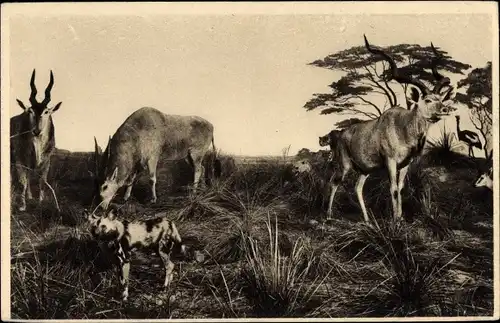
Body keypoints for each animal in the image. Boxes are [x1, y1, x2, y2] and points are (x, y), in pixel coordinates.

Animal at [10, 70, 62, 213]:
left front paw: (40, 202)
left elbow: (42, 182)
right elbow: (22, 182)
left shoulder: (46, 161)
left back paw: (30, 196)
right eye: (30, 111)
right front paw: (22, 206)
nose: (36, 131)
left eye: (46, 111)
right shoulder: (19, 160)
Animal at [324, 35, 458, 223]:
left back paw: (367, 220)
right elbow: (393, 188)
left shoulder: (405, 164)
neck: (404, 128)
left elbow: (400, 188)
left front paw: (400, 218)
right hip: (344, 165)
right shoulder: (391, 161)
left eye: (440, 98)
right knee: (334, 182)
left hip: (364, 170)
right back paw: (328, 216)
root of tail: (341, 135)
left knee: (357, 187)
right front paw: (395, 220)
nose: (445, 109)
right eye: (428, 100)